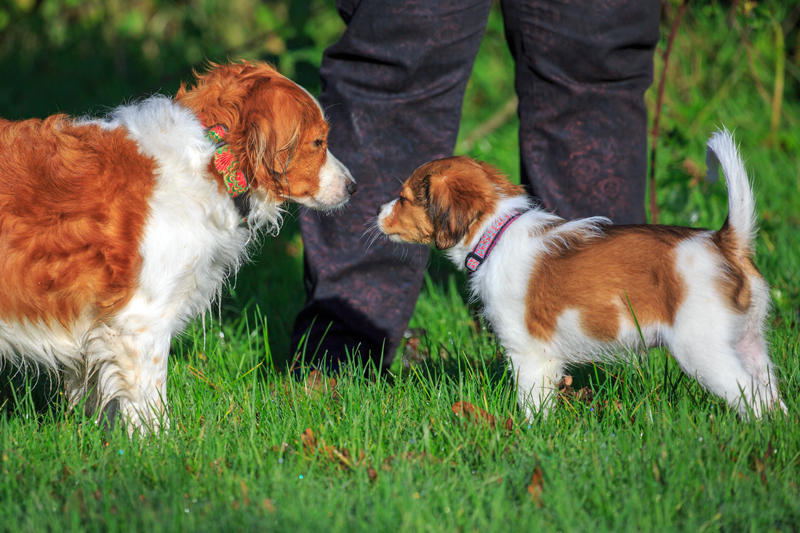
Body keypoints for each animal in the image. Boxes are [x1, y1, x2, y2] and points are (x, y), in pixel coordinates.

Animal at [0, 60, 356, 432]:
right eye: (318, 142)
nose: (353, 186)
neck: (212, 159)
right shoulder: (140, 321)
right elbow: (150, 404)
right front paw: (159, 443)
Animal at [378, 131, 784, 418]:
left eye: (404, 199)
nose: (377, 212)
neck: (497, 232)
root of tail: (725, 241)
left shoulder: (529, 354)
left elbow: (533, 406)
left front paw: (529, 439)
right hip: (749, 344)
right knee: (771, 399)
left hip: (701, 349)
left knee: (751, 399)